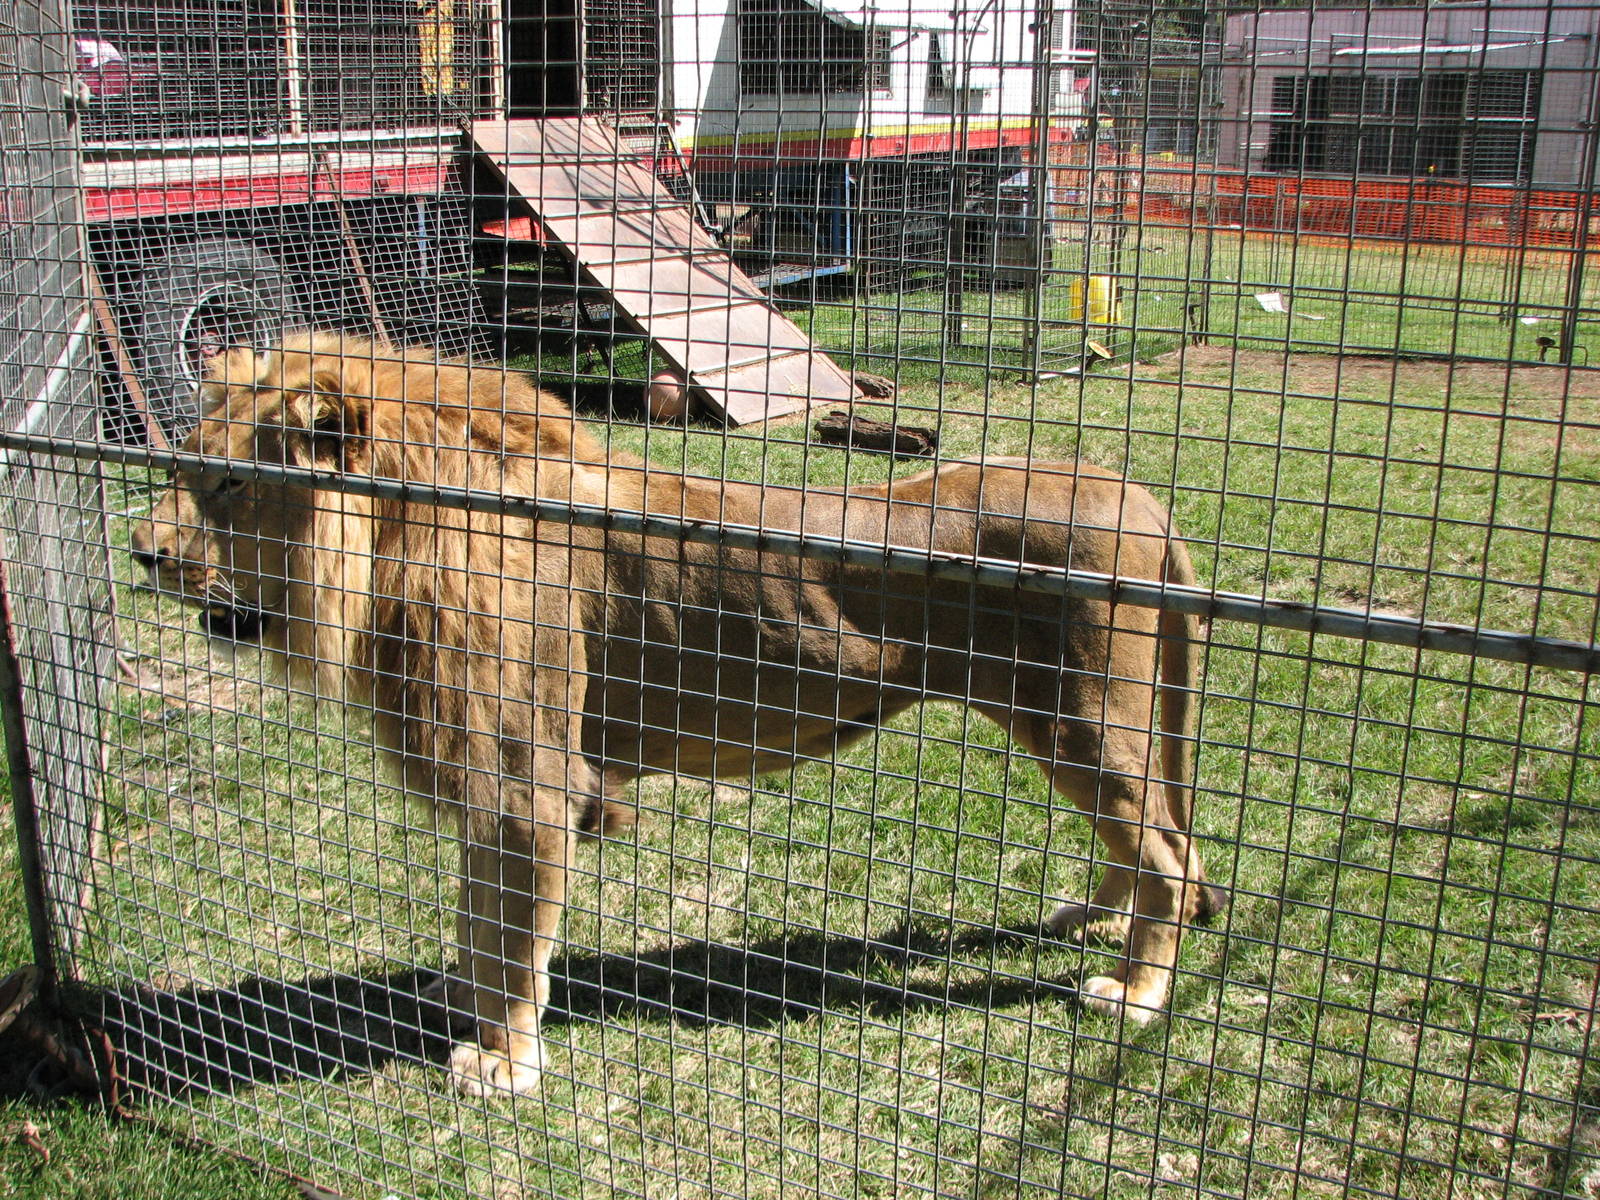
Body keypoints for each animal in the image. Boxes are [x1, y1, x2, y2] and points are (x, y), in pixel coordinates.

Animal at [130, 332, 1224, 1096]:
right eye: (182, 469)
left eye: (228, 483)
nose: (142, 553)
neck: (398, 544)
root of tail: (1141, 494)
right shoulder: (486, 770)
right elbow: (477, 909)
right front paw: (458, 997)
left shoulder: (531, 777)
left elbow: (514, 930)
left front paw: (504, 1059)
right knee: (1154, 841)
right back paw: (1090, 916)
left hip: (1082, 718)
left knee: (1169, 857)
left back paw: (1135, 992)